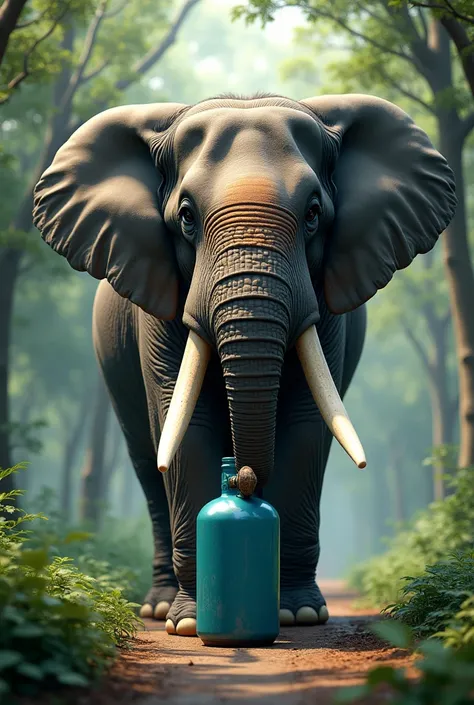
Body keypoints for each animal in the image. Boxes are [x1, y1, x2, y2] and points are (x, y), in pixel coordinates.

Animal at [32, 91, 456, 636]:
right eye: (186, 217)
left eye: (313, 213)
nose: (246, 478)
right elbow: (186, 423)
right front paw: (188, 624)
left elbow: (305, 423)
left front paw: (299, 614)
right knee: (148, 460)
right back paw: (158, 609)